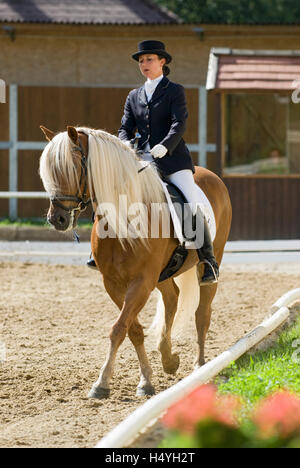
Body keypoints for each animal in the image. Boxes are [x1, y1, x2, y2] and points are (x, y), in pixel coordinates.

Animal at [39, 124, 232, 398]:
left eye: (72, 168)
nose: (58, 219)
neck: (124, 218)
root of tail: (211, 176)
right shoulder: (114, 283)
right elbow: (132, 329)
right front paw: (145, 381)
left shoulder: (142, 281)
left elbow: (119, 328)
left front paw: (101, 383)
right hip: (163, 274)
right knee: (172, 298)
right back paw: (168, 359)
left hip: (209, 262)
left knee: (202, 314)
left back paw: (200, 366)